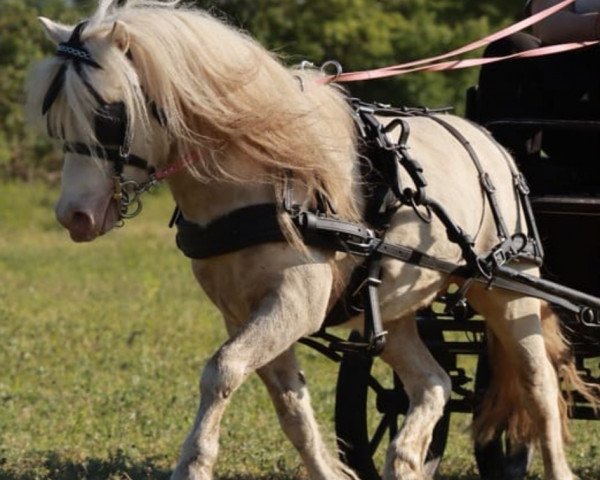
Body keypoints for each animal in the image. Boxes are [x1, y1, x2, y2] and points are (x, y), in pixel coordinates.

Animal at [27, 0, 596, 480]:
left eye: (108, 115)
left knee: (539, 386)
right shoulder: (243, 310)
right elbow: (291, 407)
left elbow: (223, 370)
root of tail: (492, 143)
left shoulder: (294, 302)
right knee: (432, 384)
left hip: (510, 290)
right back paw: (405, 458)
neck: (261, 173)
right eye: (54, 119)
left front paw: (194, 464)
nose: (73, 216)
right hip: (392, 313)